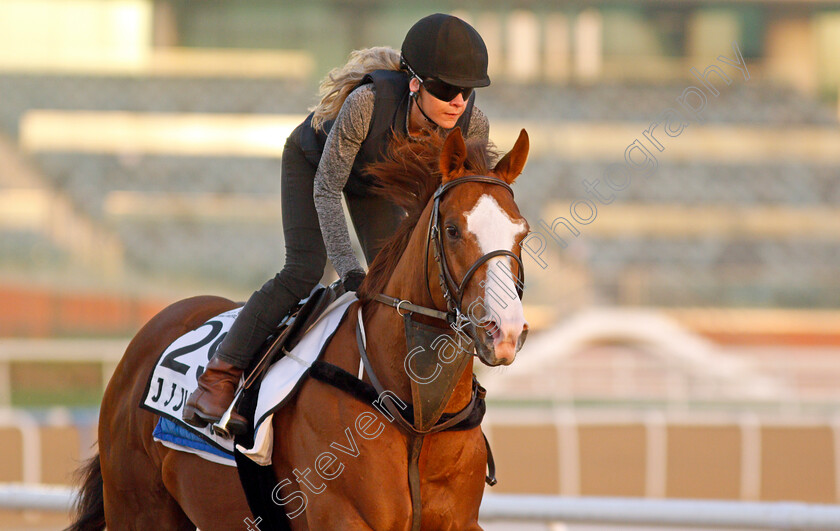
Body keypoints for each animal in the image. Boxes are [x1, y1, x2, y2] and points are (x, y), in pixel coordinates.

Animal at [70, 129, 532, 531]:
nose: (505, 331)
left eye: (522, 233)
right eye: (452, 230)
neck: (418, 418)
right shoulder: (344, 518)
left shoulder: (459, 522)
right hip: (138, 508)